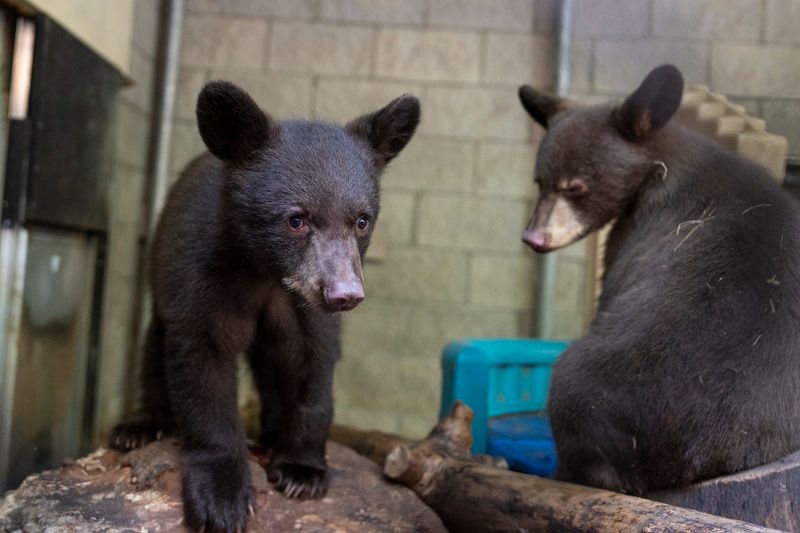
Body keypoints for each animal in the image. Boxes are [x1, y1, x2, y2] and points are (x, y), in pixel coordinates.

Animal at [109, 81, 420, 532]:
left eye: (362, 220)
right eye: (296, 219)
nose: (344, 294)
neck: (264, 272)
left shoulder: (304, 308)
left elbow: (312, 365)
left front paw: (301, 471)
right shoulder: (200, 276)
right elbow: (203, 367)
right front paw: (221, 501)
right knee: (154, 348)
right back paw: (138, 427)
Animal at [517, 64, 800, 496]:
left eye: (575, 186)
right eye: (540, 182)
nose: (534, 238)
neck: (659, 161)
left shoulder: (632, 232)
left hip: (582, 389)